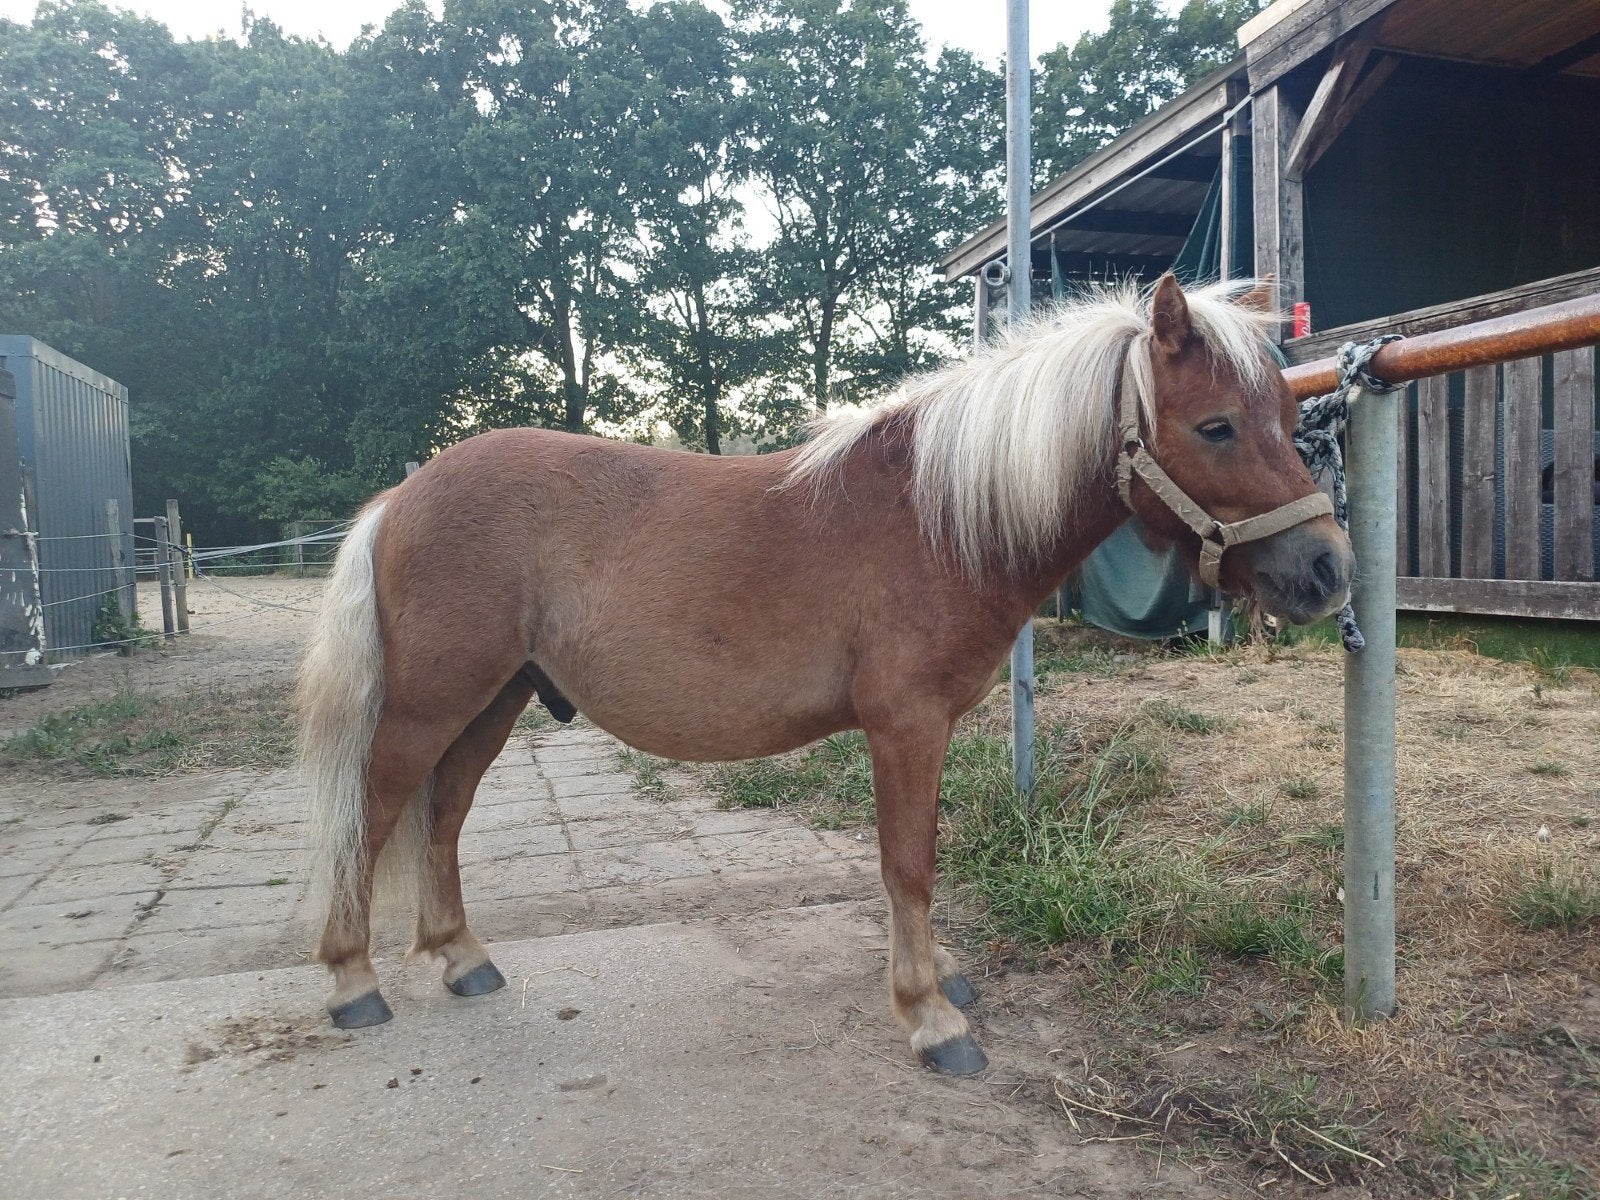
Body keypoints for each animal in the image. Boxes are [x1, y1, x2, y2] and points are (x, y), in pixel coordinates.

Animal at [298, 274, 1353, 1074]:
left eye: (1290, 412)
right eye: (1216, 426)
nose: (1326, 571)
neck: (935, 518)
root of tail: (401, 496)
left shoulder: (928, 730)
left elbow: (919, 857)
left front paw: (940, 979)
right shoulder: (905, 724)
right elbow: (909, 864)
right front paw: (930, 1016)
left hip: (499, 697)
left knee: (444, 815)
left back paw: (462, 959)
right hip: (433, 700)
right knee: (378, 811)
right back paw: (353, 980)